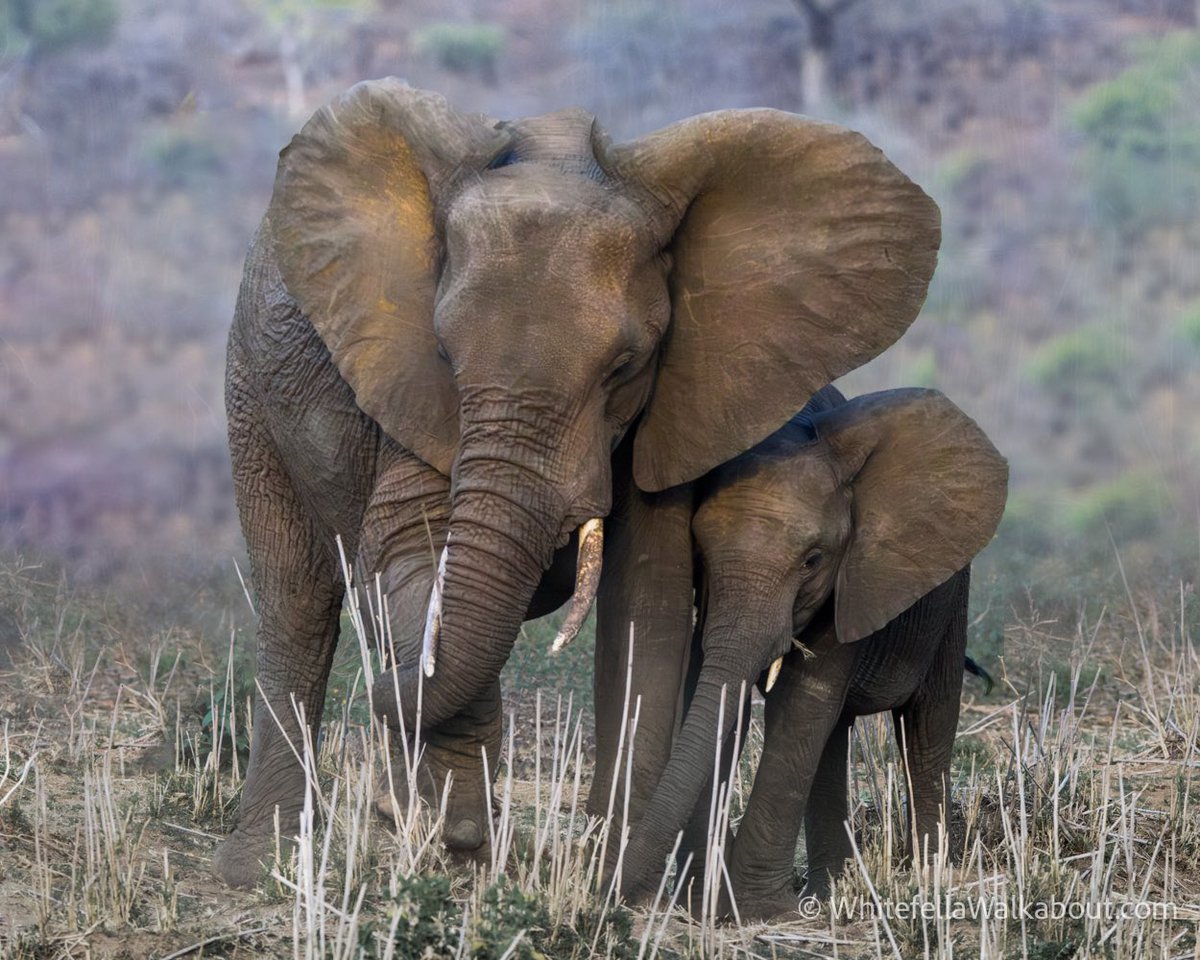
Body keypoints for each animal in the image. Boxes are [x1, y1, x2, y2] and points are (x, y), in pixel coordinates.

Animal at [214, 78, 941, 887]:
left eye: (624, 366)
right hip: (252, 391)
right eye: (444, 352)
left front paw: (604, 871)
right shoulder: (407, 386)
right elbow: (409, 551)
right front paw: (460, 834)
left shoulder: (674, 401)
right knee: (299, 599)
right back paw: (269, 863)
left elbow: (647, 597)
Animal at [612, 385, 1008, 916]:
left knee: (927, 725)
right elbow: (722, 698)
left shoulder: (854, 576)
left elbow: (802, 698)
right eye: (700, 554)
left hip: (948, 600)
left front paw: (757, 910)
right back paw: (830, 889)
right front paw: (721, 904)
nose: (611, 895)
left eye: (813, 561)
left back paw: (930, 876)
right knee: (834, 734)